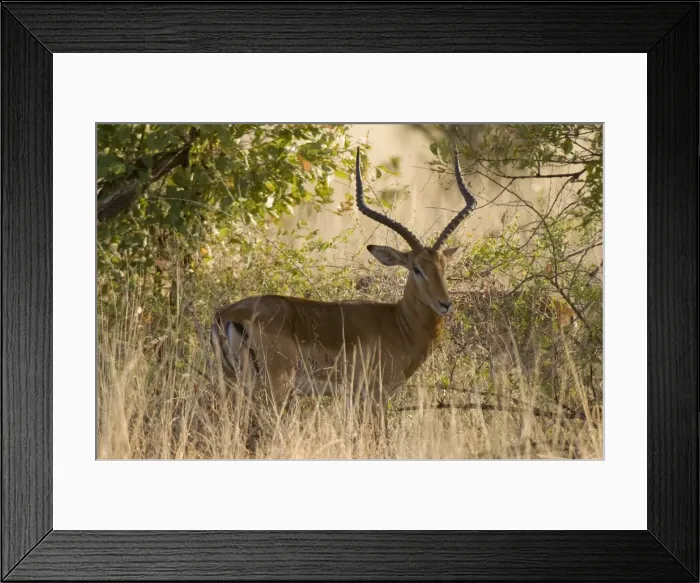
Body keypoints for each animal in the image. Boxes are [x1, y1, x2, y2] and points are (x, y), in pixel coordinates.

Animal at [211, 146, 477, 438]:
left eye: (443, 266)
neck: (399, 324)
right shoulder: (375, 395)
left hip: (232, 382)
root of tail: (228, 315)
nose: (445, 304)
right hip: (273, 386)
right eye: (416, 268)